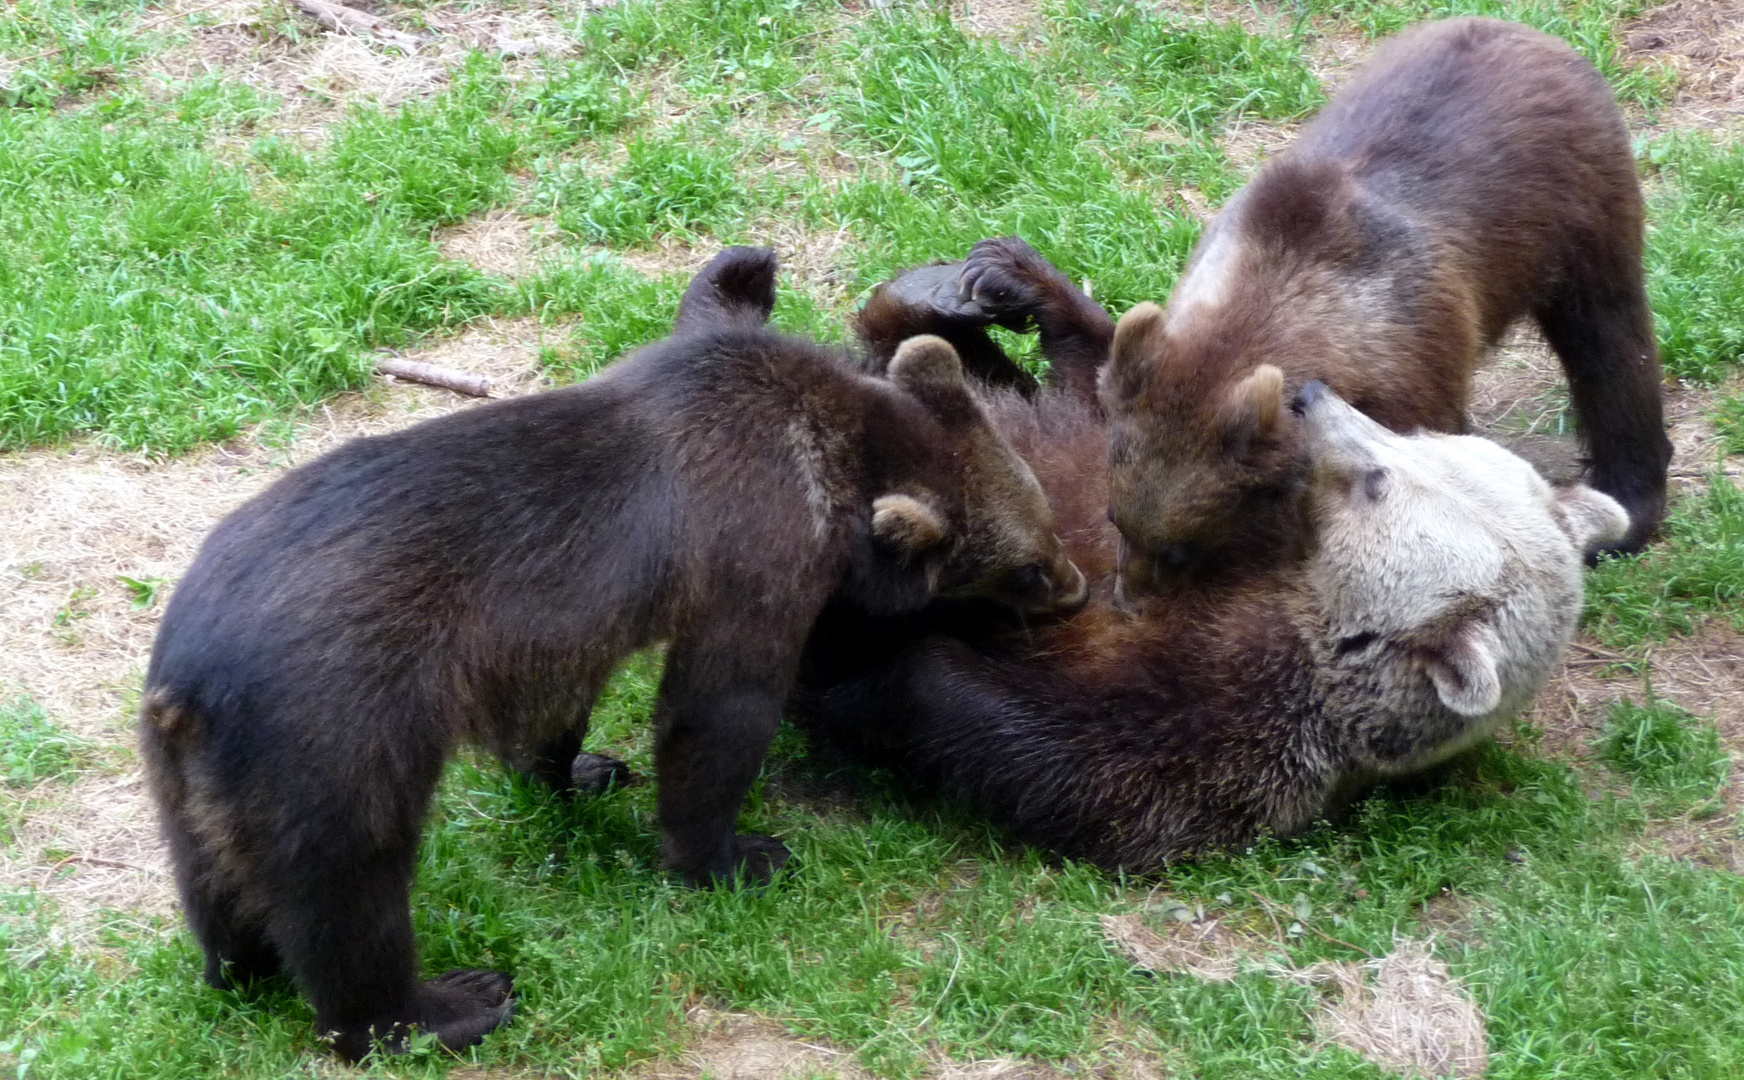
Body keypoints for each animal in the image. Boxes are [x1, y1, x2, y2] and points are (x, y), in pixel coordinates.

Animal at [139, 247, 1088, 1067]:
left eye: (1044, 520)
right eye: (1025, 565)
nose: (1078, 586)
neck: (834, 455)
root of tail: (189, 684)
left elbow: (562, 707)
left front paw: (584, 767)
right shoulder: (756, 557)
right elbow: (718, 714)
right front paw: (739, 854)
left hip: (194, 780)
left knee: (217, 885)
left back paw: (242, 962)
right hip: (338, 738)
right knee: (348, 902)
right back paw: (451, 1002)